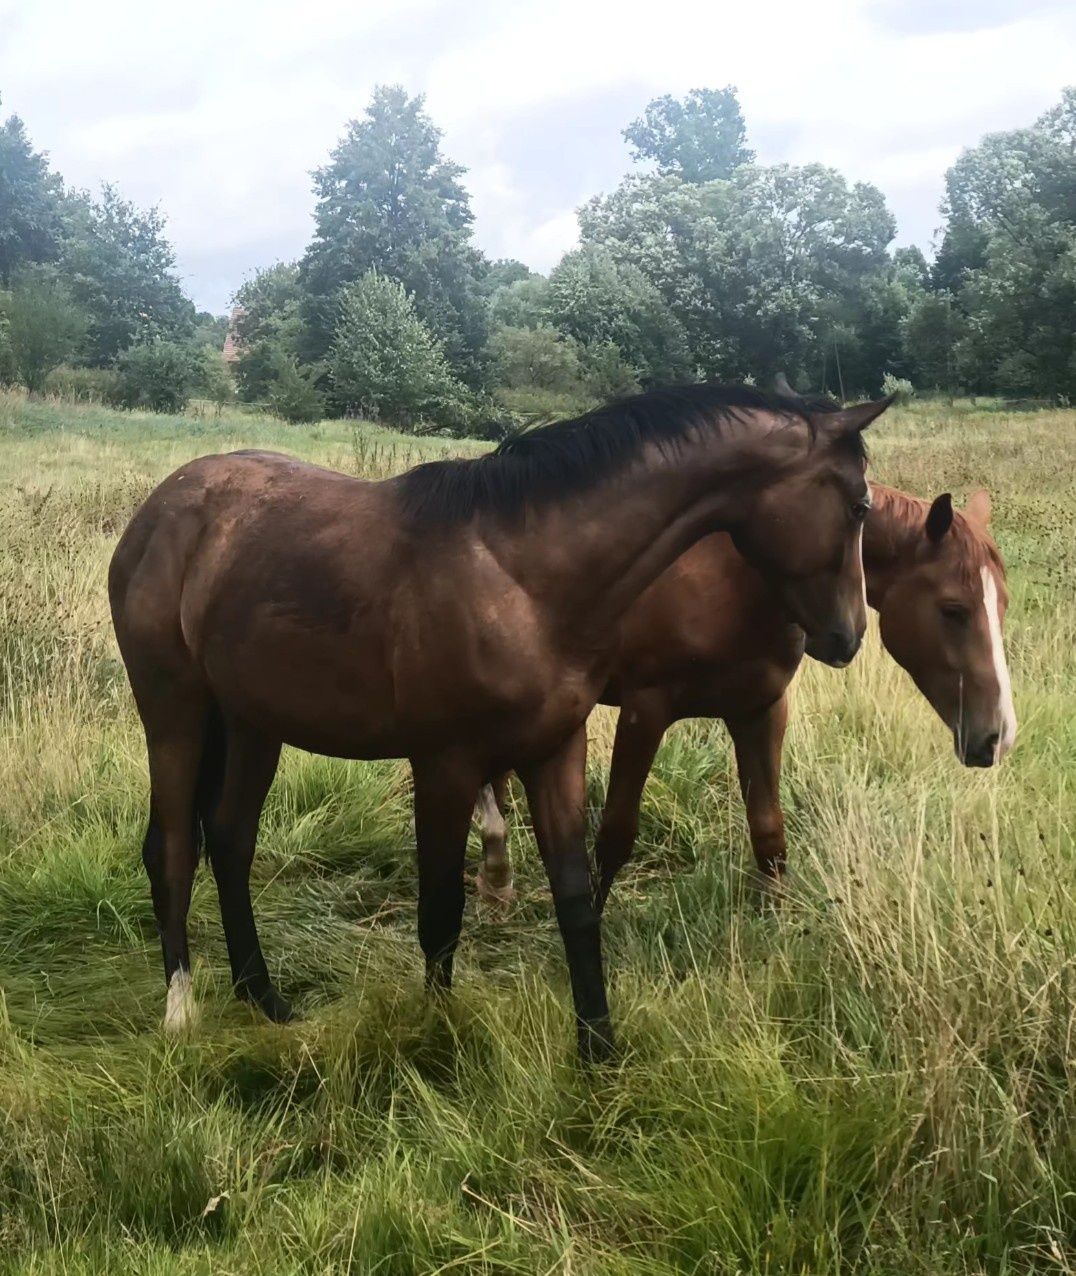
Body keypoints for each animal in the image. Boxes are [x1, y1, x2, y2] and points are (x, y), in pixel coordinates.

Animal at [109, 382, 893, 1061]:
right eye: (859, 506)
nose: (848, 636)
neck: (523, 577)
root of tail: (159, 511)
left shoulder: (555, 749)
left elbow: (575, 897)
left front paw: (597, 1050)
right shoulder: (445, 764)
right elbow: (439, 910)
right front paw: (435, 1035)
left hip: (252, 722)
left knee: (231, 838)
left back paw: (262, 995)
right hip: (175, 710)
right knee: (174, 847)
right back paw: (182, 1009)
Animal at [474, 482, 1016, 913]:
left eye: (1003, 605)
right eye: (953, 609)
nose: (998, 736)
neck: (737, 580)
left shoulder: (761, 708)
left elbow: (768, 828)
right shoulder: (644, 712)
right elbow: (615, 835)